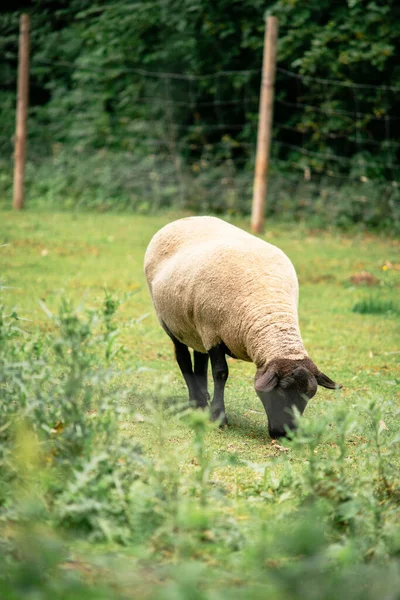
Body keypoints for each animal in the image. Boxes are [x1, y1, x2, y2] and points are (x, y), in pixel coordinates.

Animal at [144, 216, 340, 436]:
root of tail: (185, 219)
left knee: (199, 357)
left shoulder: (207, 332)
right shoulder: (212, 332)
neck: (269, 308)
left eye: (309, 397)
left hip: (195, 326)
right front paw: (218, 417)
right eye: (281, 393)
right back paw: (197, 401)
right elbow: (221, 373)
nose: (285, 434)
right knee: (183, 357)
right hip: (171, 321)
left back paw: (203, 397)